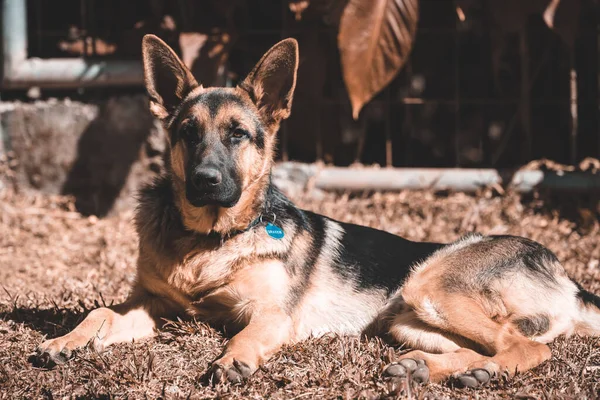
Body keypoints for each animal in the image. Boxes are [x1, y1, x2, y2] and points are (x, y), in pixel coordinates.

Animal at [34, 35, 600, 388]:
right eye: (188, 133)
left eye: (237, 134)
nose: (205, 182)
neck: (208, 242)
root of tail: (568, 279)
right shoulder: (152, 306)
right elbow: (101, 312)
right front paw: (66, 340)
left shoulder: (270, 314)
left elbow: (245, 332)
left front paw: (234, 360)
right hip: (408, 321)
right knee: (490, 348)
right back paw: (433, 370)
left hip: (430, 286)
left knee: (531, 349)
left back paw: (481, 374)